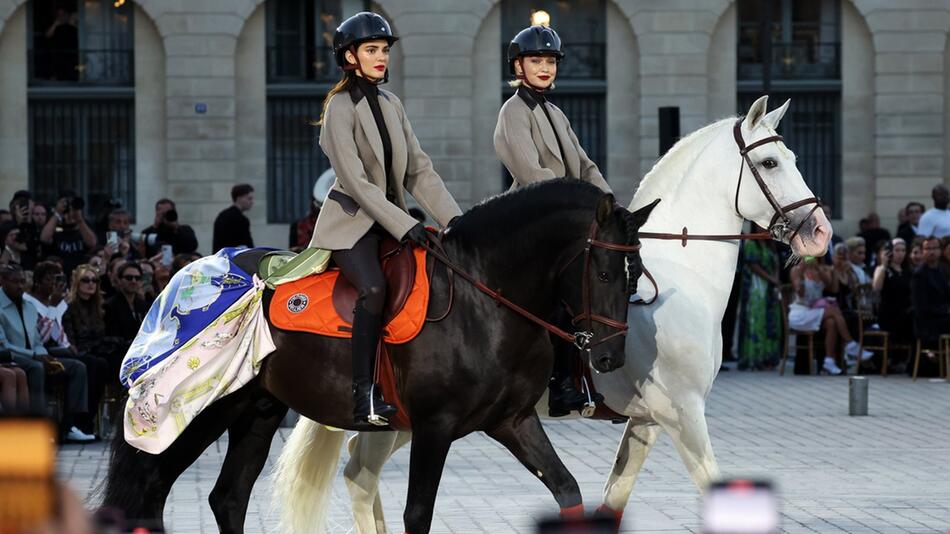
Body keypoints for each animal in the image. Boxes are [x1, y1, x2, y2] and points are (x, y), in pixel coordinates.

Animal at [100, 181, 660, 534]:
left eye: (635, 274)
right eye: (603, 273)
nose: (609, 358)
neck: (484, 300)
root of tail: (185, 276)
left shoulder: (513, 421)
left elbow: (567, 490)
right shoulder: (435, 427)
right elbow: (418, 514)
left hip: (256, 411)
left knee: (228, 498)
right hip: (198, 413)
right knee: (150, 490)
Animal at [276, 95, 832, 532]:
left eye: (793, 156)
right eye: (771, 164)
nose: (819, 232)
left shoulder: (648, 422)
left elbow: (611, 501)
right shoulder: (683, 413)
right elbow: (712, 483)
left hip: (405, 421)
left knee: (360, 473)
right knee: (360, 476)